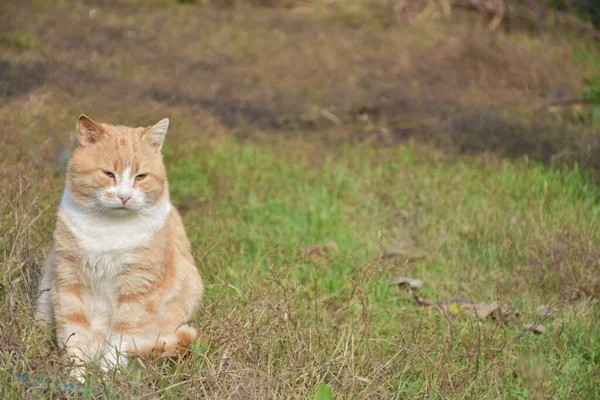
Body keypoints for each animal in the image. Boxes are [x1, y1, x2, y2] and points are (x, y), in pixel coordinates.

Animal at [35, 114, 204, 380]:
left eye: (141, 177)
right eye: (108, 174)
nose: (125, 196)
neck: (109, 230)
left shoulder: (137, 290)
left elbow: (119, 340)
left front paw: (107, 378)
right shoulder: (68, 281)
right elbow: (73, 335)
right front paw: (76, 379)